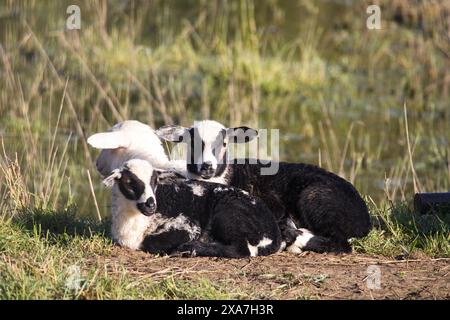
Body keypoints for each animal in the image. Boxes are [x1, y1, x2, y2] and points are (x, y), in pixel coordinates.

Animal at [103, 159, 284, 258]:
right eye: (129, 183)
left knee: (242, 249)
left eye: (155, 181)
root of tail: (274, 236)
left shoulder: (187, 224)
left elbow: (151, 243)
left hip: (229, 215)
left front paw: (184, 247)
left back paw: (191, 249)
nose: (151, 205)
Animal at [156, 119, 370, 252]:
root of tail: (364, 220)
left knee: (341, 244)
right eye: (192, 143)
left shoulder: (273, 204)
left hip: (315, 198)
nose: (207, 166)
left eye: (224, 143)